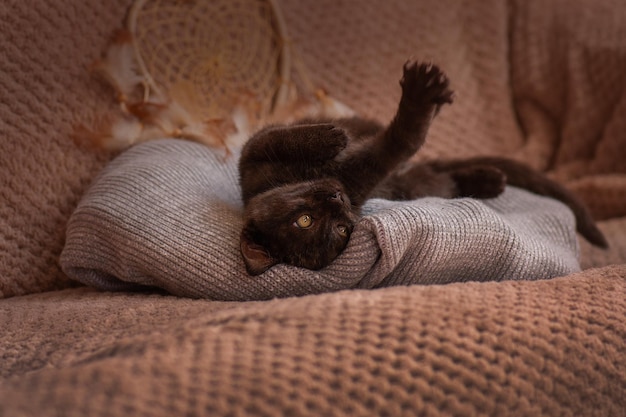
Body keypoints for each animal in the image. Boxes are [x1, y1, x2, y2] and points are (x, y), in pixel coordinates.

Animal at [238, 61, 604, 274]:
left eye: (305, 220)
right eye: (339, 229)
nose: (336, 197)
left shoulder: (253, 156)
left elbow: (279, 137)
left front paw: (333, 137)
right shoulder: (360, 176)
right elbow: (395, 143)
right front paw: (416, 102)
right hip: (414, 186)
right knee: (436, 174)